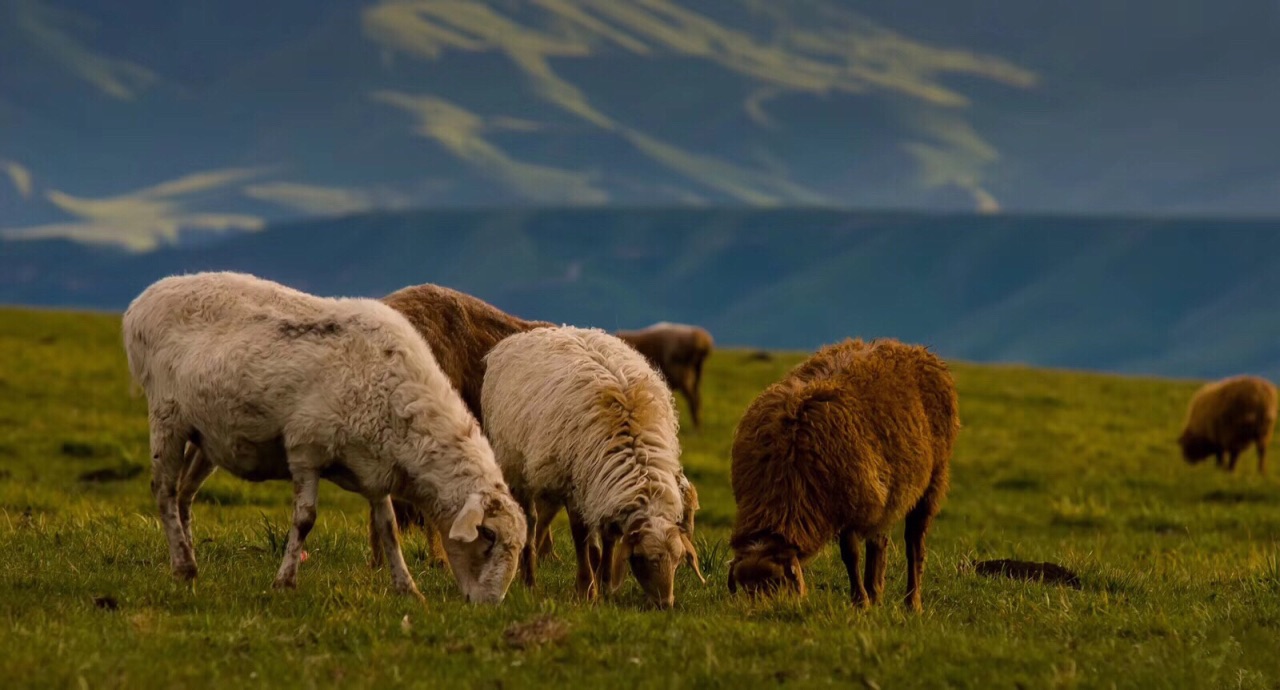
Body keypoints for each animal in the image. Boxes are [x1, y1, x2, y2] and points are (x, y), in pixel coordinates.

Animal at [122, 272, 527, 601]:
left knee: (185, 494)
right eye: (488, 536)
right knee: (164, 491)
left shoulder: (375, 470)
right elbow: (305, 520)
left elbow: (388, 528)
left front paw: (407, 588)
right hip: (167, 416)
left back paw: (190, 558)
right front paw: (284, 582)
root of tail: (143, 300)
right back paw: (183, 566)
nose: (491, 604)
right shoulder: (305, 450)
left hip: (206, 435)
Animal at [481, 326, 701, 606]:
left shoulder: (604, 491)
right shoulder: (573, 485)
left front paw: (605, 585)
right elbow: (580, 537)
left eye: (678, 560)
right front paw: (586, 588)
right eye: (642, 559)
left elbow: (609, 539)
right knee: (530, 521)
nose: (665, 605)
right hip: (517, 466)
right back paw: (529, 582)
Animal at [727, 337, 957, 611]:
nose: (761, 612)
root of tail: (912, 349)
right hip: (882, 491)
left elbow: (850, 555)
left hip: (932, 479)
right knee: (879, 541)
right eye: (745, 588)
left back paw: (912, 603)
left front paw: (860, 601)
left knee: (914, 544)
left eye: (777, 583)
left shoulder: (848, 505)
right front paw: (866, 598)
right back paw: (876, 592)